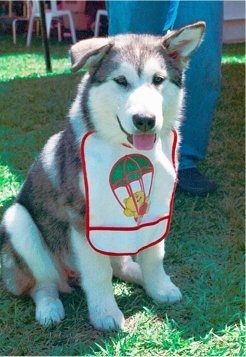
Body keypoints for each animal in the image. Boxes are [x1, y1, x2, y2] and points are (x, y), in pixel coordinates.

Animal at [0, 21, 206, 328]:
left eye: (158, 79)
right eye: (121, 81)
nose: (145, 121)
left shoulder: (156, 210)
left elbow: (154, 256)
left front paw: (159, 287)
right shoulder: (82, 218)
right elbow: (98, 274)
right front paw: (105, 313)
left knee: (119, 265)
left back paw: (136, 273)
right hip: (18, 221)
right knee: (42, 283)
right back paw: (49, 307)